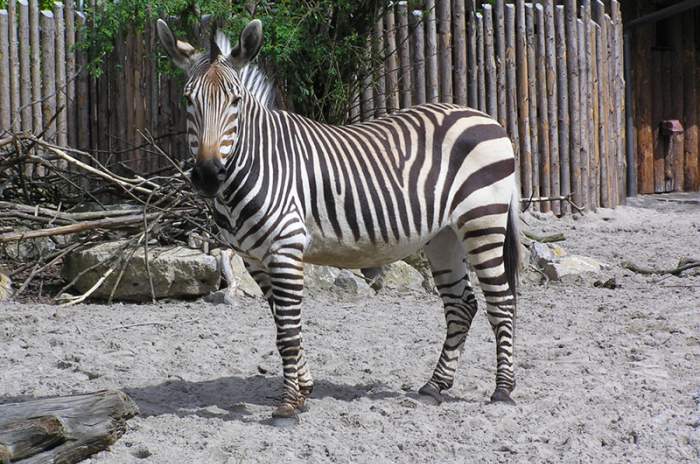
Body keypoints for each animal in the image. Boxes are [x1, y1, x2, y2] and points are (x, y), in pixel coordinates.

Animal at [157, 20, 520, 422]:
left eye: (235, 102)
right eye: (188, 100)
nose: (207, 175)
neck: (256, 162)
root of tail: (484, 116)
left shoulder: (285, 248)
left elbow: (287, 332)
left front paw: (288, 404)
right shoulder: (255, 259)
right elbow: (284, 325)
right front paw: (303, 390)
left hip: (482, 221)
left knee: (502, 302)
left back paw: (503, 390)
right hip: (444, 236)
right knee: (462, 305)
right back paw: (434, 386)